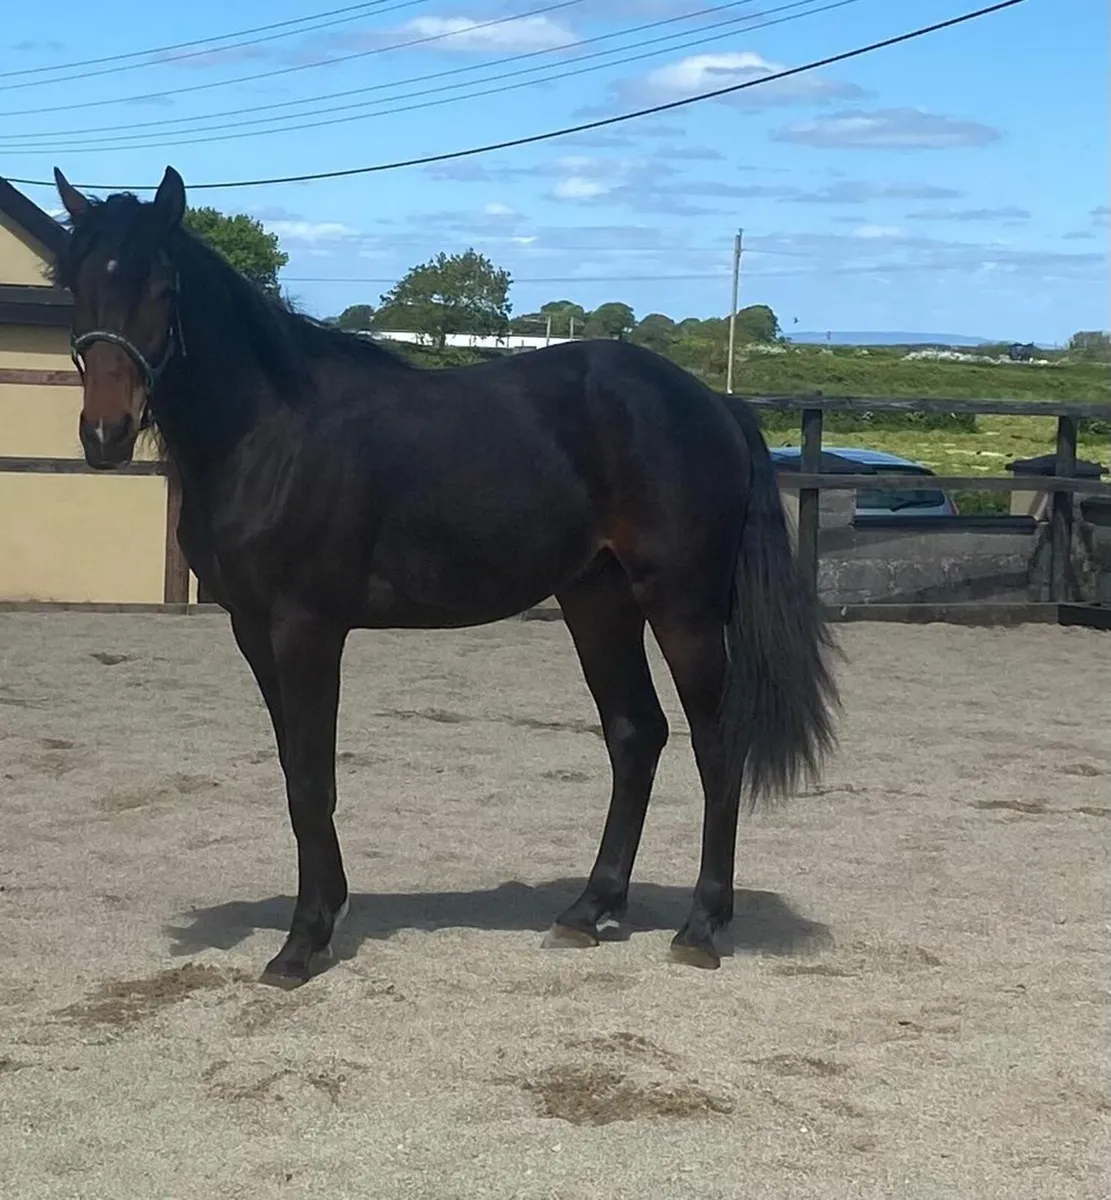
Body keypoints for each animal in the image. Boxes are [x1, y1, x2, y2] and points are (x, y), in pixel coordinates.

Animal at [51, 164, 839, 987]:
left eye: (162, 286)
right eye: (77, 280)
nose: (104, 433)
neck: (267, 434)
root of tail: (713, 403)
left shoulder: (306, 629)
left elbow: (312, 777)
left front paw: (302, 942)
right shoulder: (251, 630)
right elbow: (295, 770)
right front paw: (328, 912)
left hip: (682, 606)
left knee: (716, 744)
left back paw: (701, 925)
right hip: (598, 601)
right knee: (635, 734)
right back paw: (588, 910)